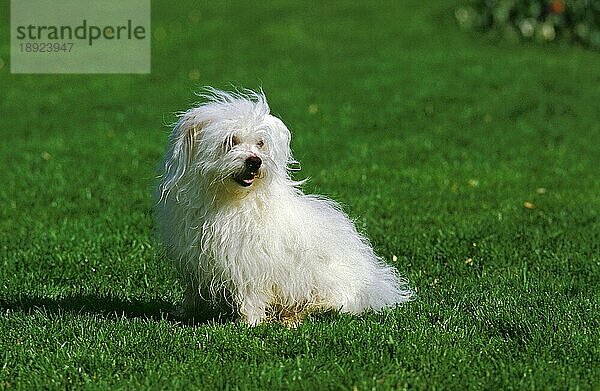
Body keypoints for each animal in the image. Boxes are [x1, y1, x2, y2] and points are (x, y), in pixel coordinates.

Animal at [155, 89, 412, 328]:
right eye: (231, 141)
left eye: (260, 143)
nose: (254, 161)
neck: (230, 199)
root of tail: (376, 286)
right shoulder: (194, 258)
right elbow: (193, 291)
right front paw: (185, 313)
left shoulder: (250, 262)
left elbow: (250, 294)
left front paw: (250, 323)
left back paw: (294, 317)